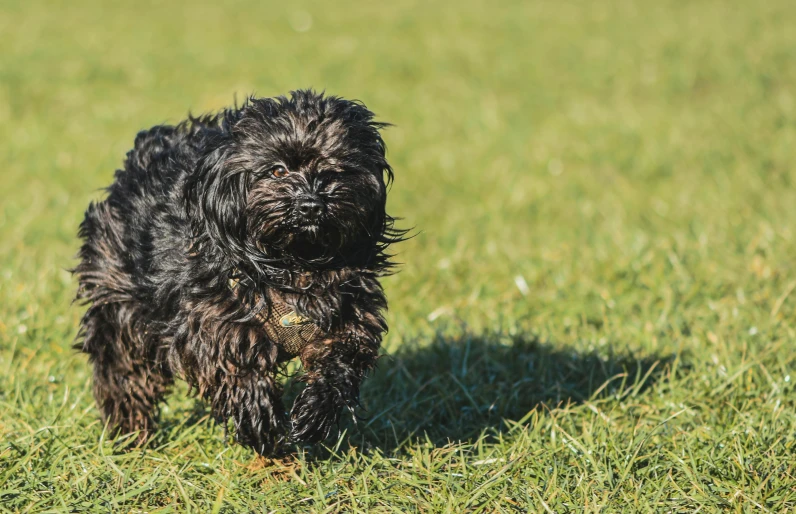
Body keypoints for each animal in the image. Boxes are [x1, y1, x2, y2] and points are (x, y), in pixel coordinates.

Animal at [73, 90, 404, 454]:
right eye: (277, 171)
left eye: (336, 170)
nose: (311, 204)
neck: (294, 261)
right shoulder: (211, 320)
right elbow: (236, 369)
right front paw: (263, 426)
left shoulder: (350, 314)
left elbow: (343, 359)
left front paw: (314, 415)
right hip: (120, 300)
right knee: (122, 368)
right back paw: (129, 435)